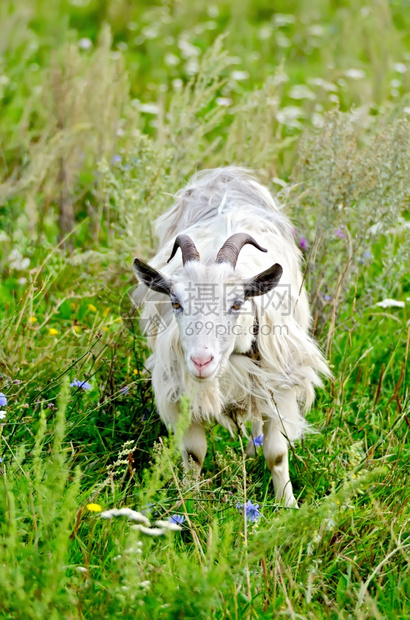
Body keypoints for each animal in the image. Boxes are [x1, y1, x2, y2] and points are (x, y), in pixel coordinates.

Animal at [133, 167, 332, 506]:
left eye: (237, 303)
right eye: (176, 302)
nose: (201, 361)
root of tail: (224, 174)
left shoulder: (279, 384)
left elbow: (277, 454)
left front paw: (288, 505)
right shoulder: (181, 391)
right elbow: (194, 454)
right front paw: (189, 500)